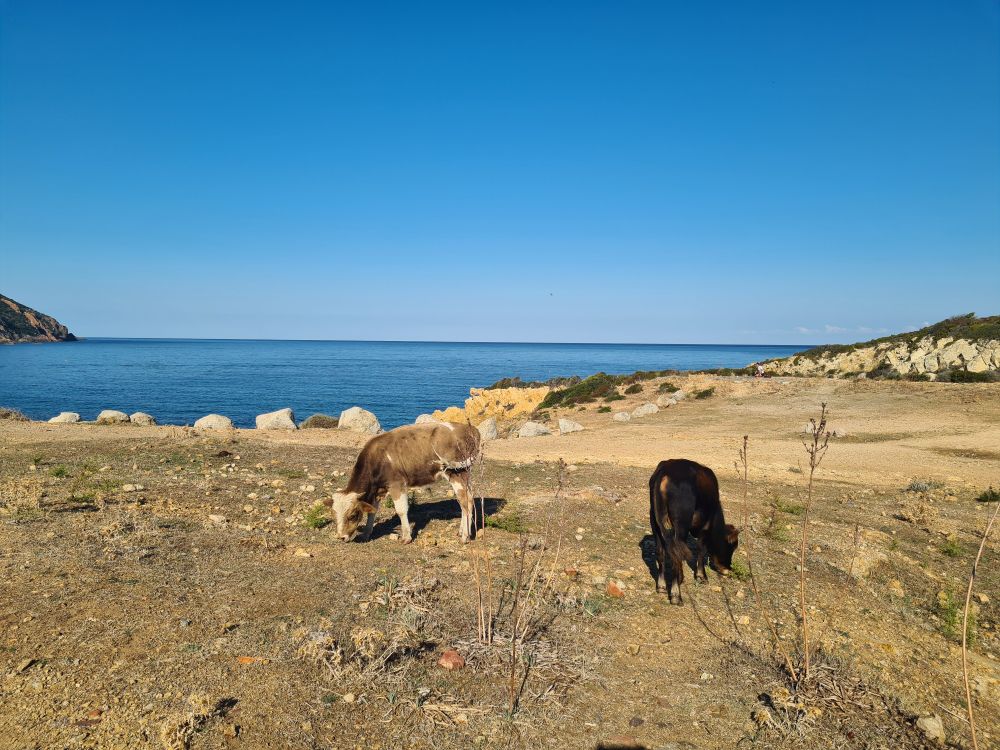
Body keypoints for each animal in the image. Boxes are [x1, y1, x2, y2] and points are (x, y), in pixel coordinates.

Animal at [326, 421, 481, 544]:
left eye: (352, 516)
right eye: (333, 515)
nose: (341, 537)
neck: (377, 458)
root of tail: (469, 428)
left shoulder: (397, 484)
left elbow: (401, 510)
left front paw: (406, 537)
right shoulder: (378, 489)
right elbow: (372, 512)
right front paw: (366, 534)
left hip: (457, 473)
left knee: (465, 501)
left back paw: (465, 536)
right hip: (464, 474)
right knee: (467, 500)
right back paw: (462, 531)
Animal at [648, 458, 739, 604]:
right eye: (732, 546)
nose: (727, 568)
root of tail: (665, 471)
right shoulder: (705, 527)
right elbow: (701, 550)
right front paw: (702, 576)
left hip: (654, 521)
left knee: (660, 552)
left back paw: (662, 587)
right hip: (681, 526)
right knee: (677, 555)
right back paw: (676, 594)